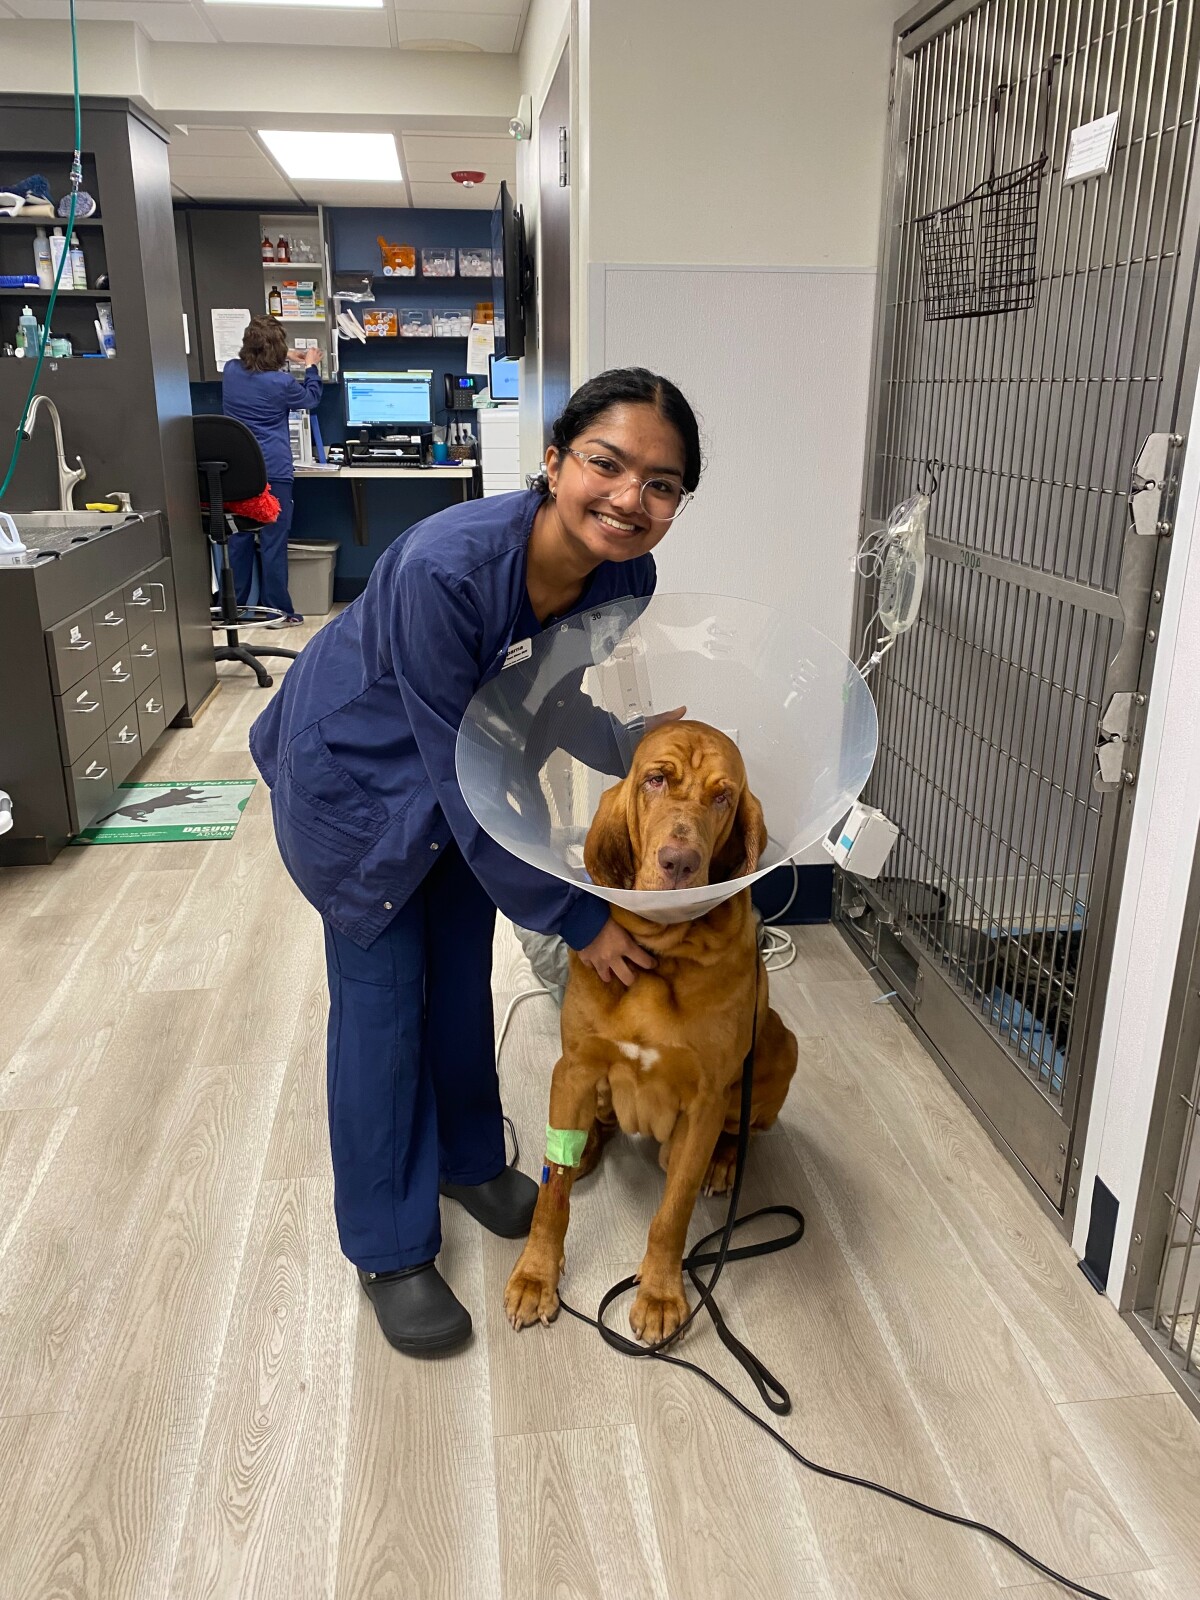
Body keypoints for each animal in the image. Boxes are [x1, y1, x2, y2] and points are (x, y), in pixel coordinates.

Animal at [504, 720, 799, 1343]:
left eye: (722, 797)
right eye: (655, 780)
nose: (680, 863)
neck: (661, 956)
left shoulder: (706, 1099)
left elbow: (673, 1212)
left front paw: (662, 1293)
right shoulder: (574, 1067)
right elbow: (552, 1192)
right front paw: (536, 1277)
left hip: (781, 1047)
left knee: (740, 1130)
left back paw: (724, 1161)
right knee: (589, 1134)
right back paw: (590, 1144)